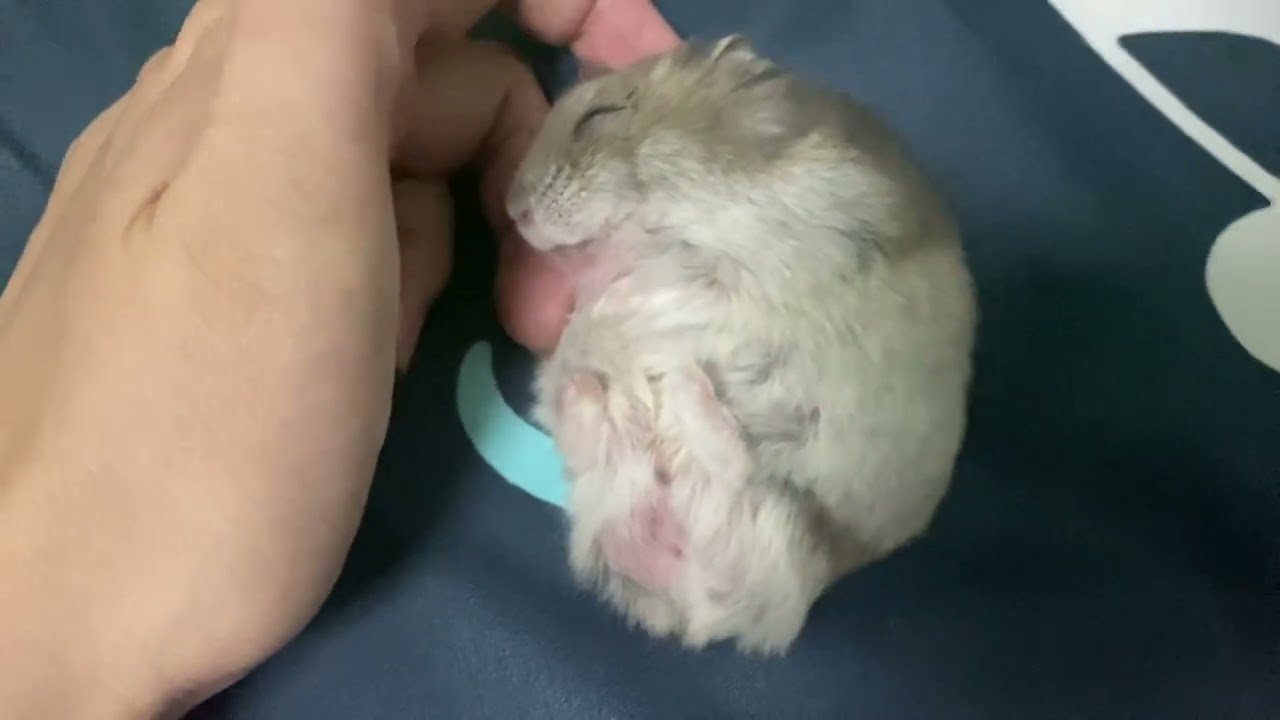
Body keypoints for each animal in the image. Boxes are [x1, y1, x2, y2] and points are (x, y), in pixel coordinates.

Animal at [505, 35, 978, 655]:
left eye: (599, 115)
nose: (512, 211)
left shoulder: (783, 251)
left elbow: (684, 285)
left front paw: (619, 309)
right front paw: (601, 318)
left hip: (786, 513)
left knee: (734, 463)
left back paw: (678, 387)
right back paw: (602, 397)